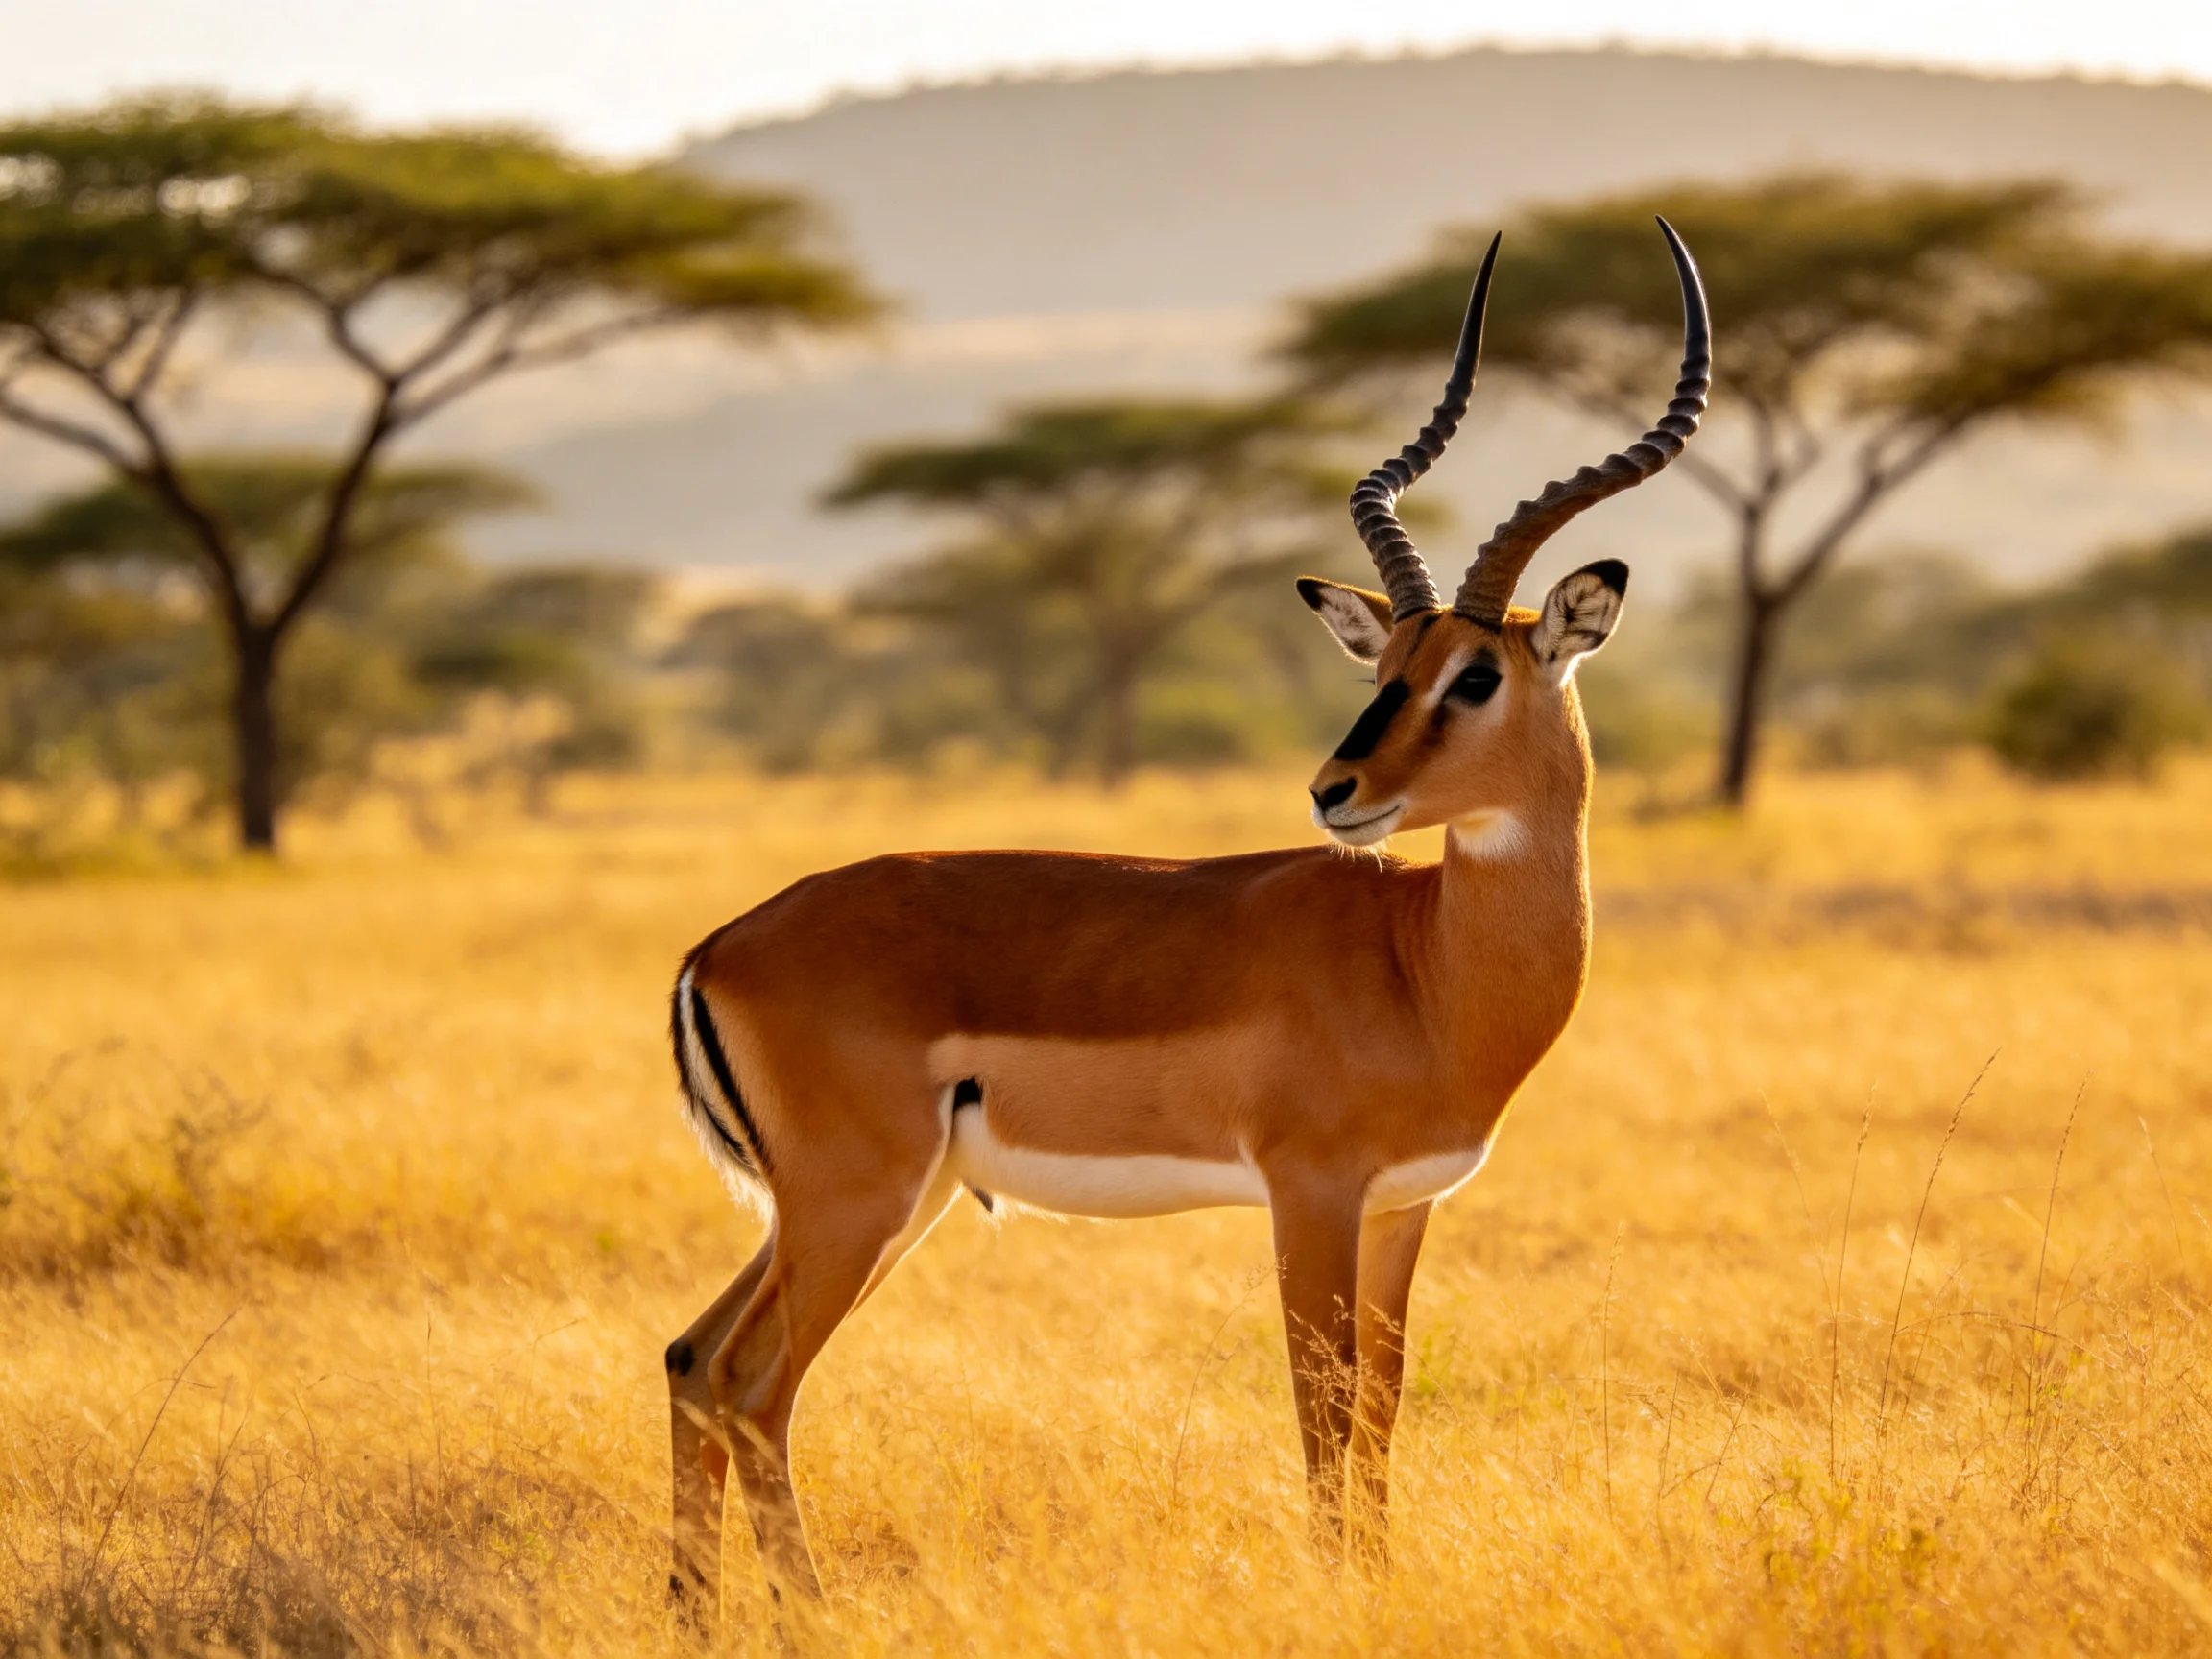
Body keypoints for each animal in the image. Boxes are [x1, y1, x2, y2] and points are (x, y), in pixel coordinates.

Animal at [664, 220, 1710, 1614]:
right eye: (1389, 669)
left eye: (1475, 674)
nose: (1336, 791)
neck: (1426, 964)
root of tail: (717, 947)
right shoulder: (1308, 1192)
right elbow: (1321, 1404)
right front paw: (1336, 1592)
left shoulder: (1403, 1206)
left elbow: (1381, 1406)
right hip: (855, 1200)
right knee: (750, 1383)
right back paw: (811, 1616)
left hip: (868, 1201)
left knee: (691, 1359)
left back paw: (692, 1611)